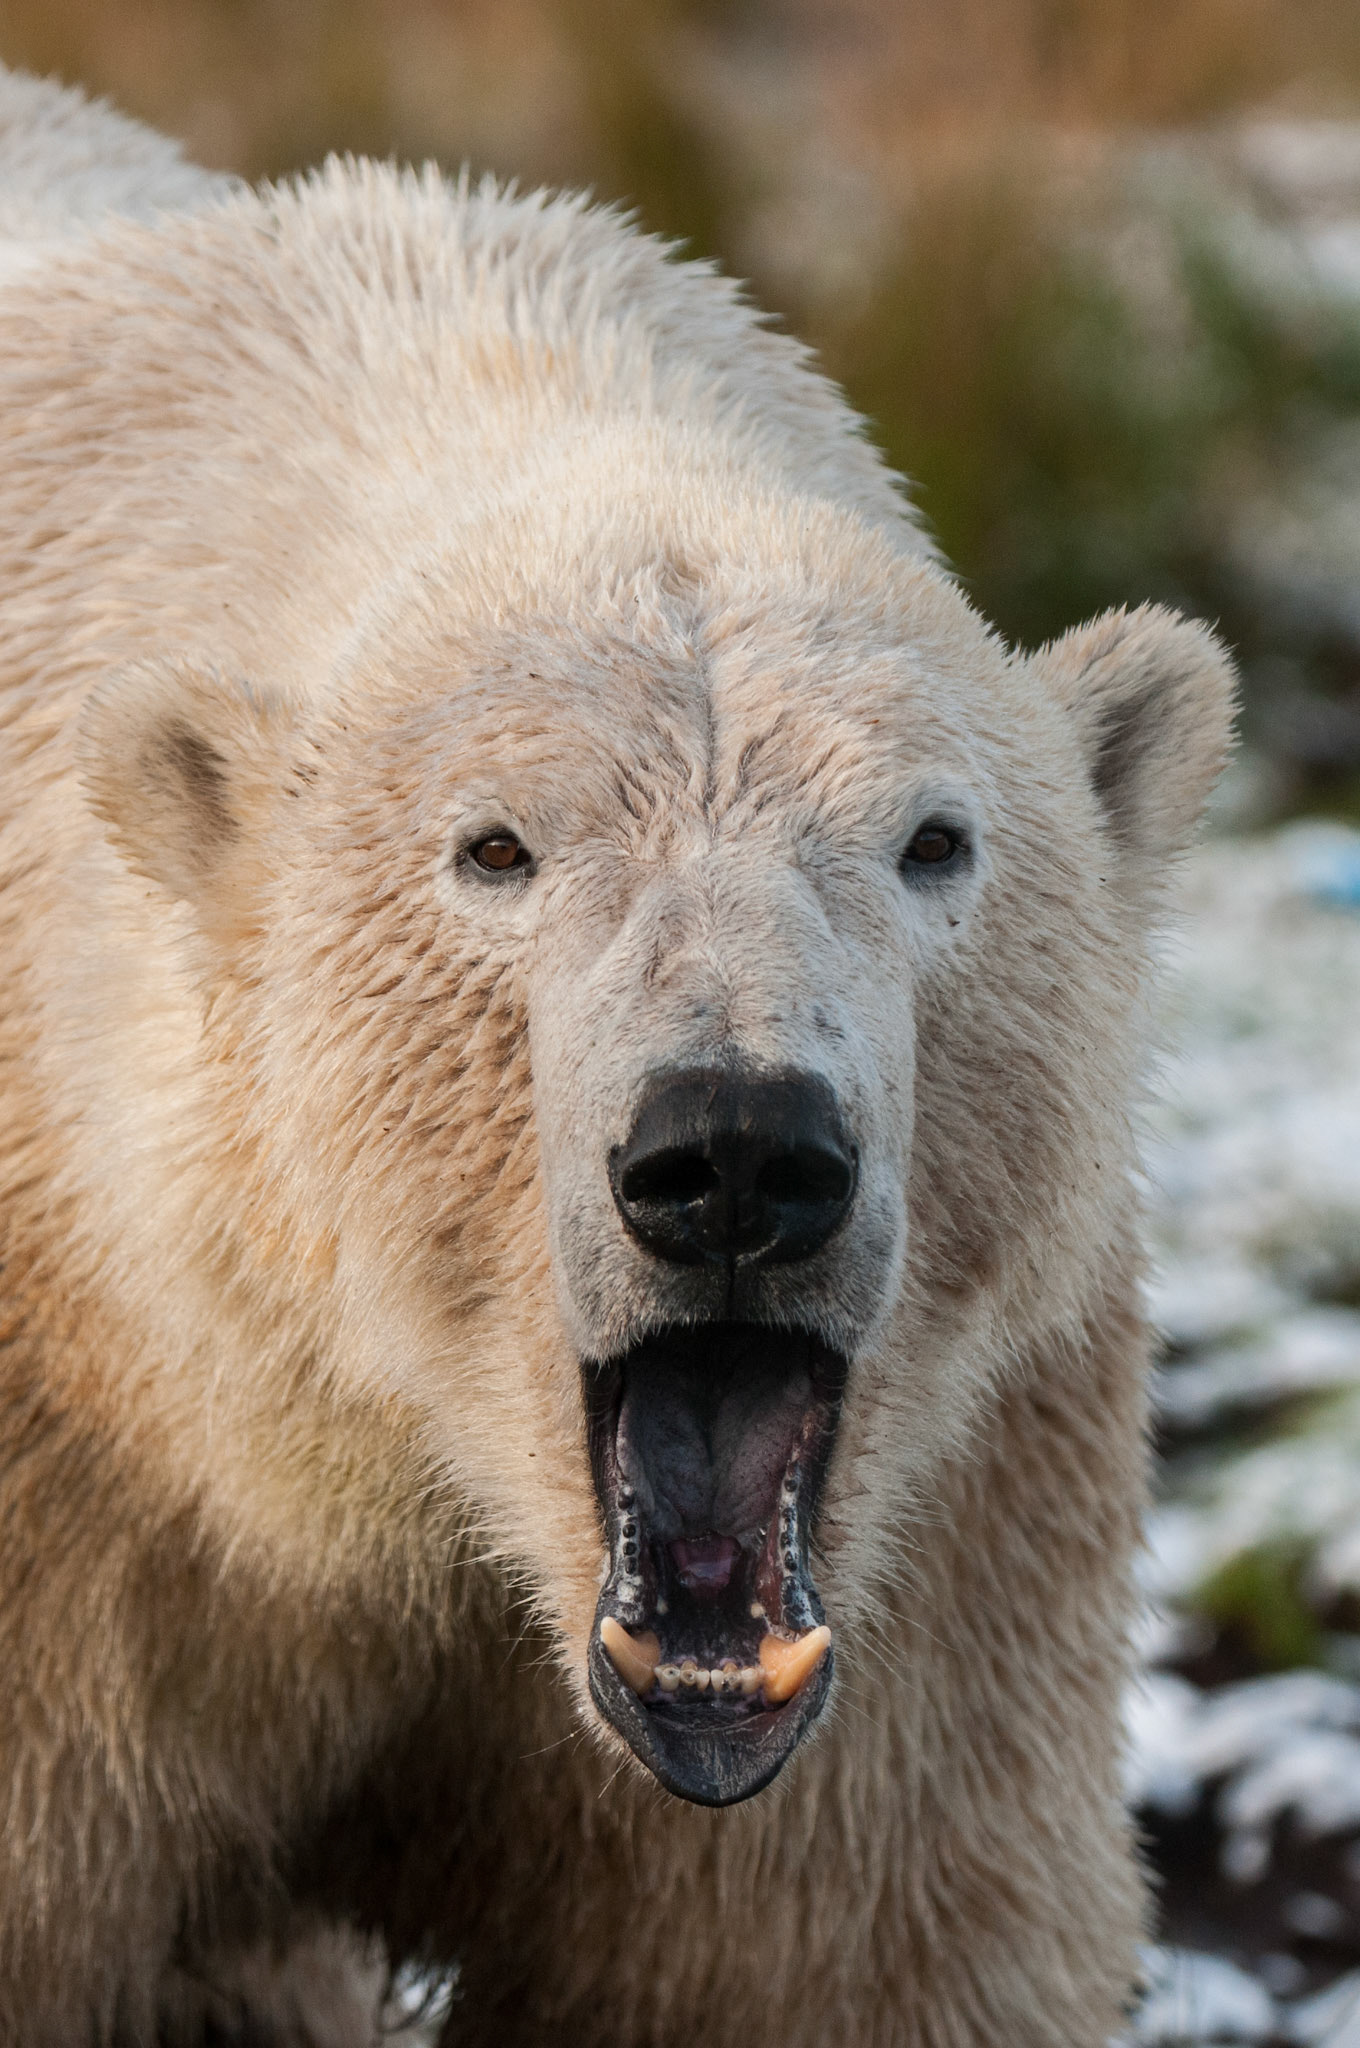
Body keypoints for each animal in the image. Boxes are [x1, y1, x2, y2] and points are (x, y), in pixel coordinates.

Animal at [0, 66, 1235, 2048]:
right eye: (495, 848)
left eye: (932, 842)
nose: (734, 1150)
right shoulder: (87, 1502)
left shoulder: (939, 1551)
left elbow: (840, 1956)